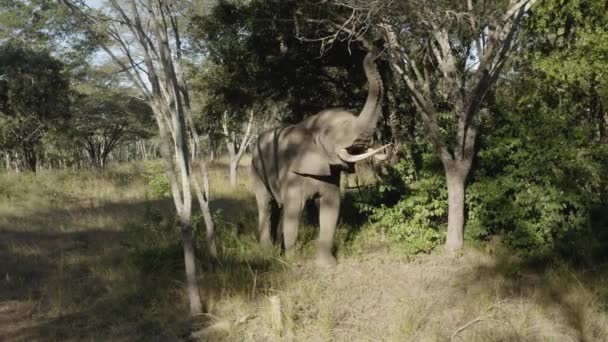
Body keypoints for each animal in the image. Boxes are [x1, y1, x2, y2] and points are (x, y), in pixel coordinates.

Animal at [252, 52, 390, 268]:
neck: (308, 124)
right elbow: (294, 211)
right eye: (329, 133)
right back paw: (267, 251)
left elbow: (331, 209)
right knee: (265, 206)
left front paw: (328, 265)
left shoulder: (329, 174)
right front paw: (293, 262)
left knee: (274, 209)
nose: (374, 52)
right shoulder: (291, 172)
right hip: (256, 170)